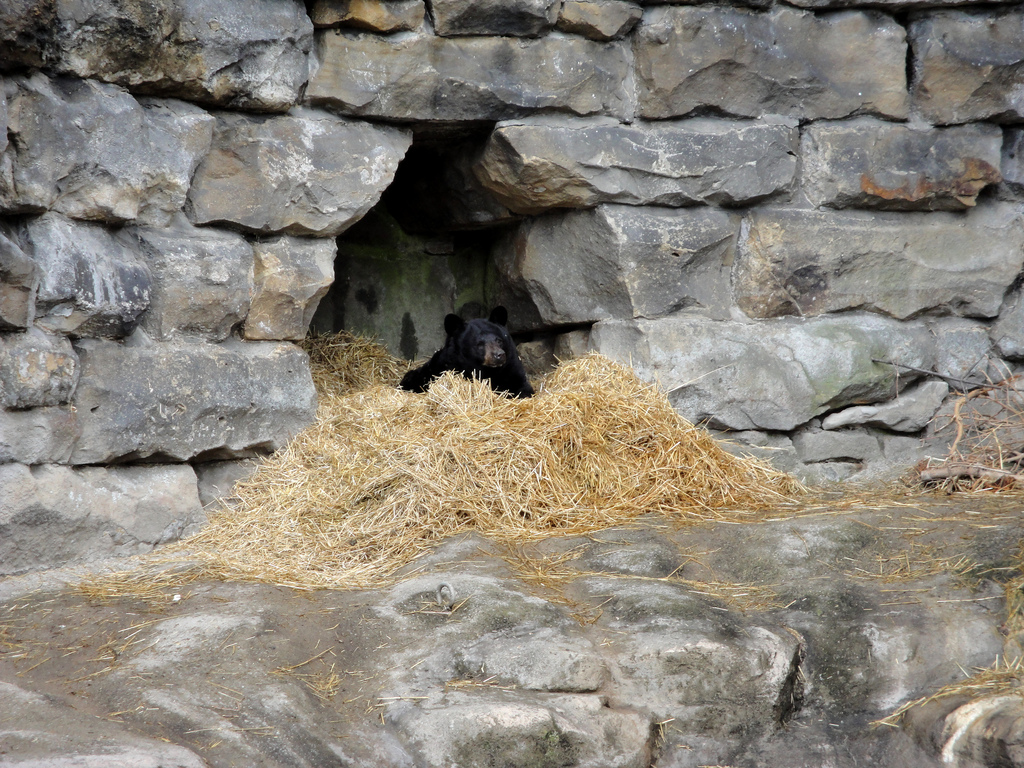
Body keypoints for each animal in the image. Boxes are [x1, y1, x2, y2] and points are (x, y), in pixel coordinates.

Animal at [400, 306, 534, 398]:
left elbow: (522, 386)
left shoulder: (511, 367)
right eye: (479, 344)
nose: (499, 355)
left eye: (499, 340)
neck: (488, 371)